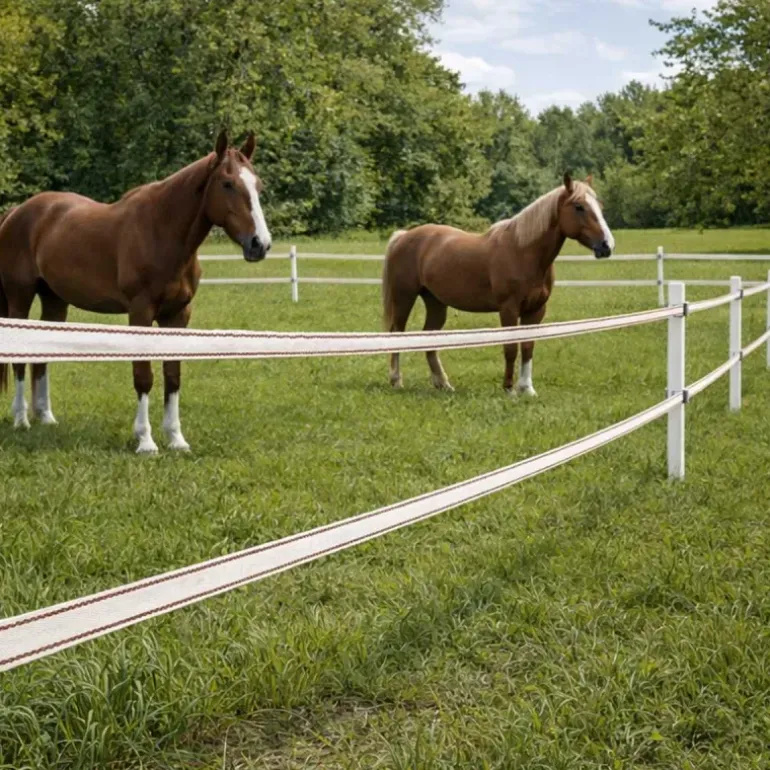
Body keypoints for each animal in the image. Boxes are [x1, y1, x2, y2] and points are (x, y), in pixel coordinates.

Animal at [0, 129, 271, 453]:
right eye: (228, 184)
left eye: (258, 185)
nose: (260, 244)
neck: (161, 232)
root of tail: (17, 212)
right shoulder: (140, 312)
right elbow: (143, 375)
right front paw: (146, 441)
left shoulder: (178, 315)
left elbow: (172, 375)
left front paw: (176, 439)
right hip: (19, 297)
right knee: (19, 355)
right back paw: (21, 420)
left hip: (55, 301)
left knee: (42, 356)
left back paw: (45, 417)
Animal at [382, 173, 615, 396]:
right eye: (579, 207)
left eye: (600, 206)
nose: (607, 245)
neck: (523, 251)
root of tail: (403, 236)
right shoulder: (508, 309)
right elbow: (511, 347)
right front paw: (509, 389)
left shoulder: (536, 310)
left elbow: (528, 346)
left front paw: (527, 389)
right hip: (404, 297)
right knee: (397, 334)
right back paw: (396, 381)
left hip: (436, 302)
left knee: (430, 337)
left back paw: (443, 384)